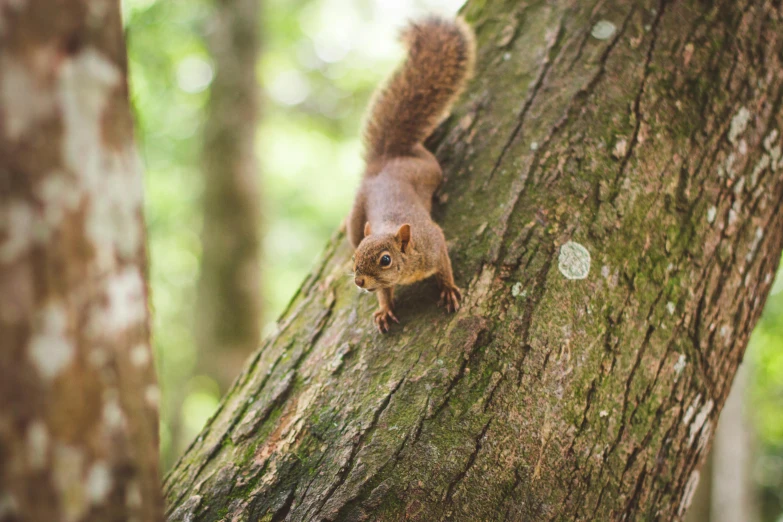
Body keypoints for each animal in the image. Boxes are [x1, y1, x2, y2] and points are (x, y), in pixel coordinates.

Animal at [350, 17, 478, 334]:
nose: (359, 281)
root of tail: (386, 158)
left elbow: (445, 268)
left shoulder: (435, 244)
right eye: (355, 257)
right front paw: (384, 310)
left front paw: (449, 290)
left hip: (430, 168)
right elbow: (383, 293)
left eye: (385, 260)